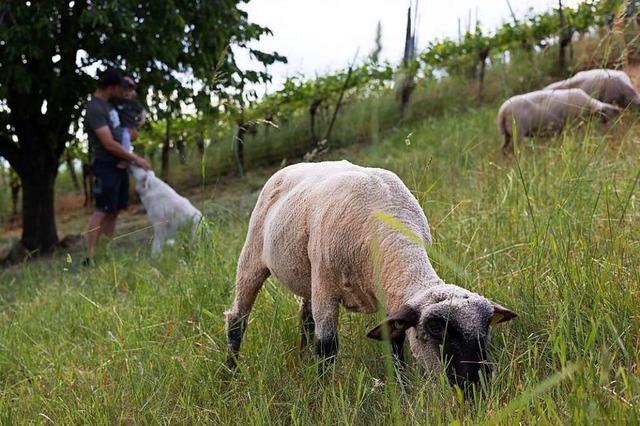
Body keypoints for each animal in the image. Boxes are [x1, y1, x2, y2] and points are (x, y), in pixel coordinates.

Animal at [224, 161, 516, 390]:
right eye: (435, 328)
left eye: (487, 325)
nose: (478, 386)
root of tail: (289, 167)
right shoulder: (326, 286)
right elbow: (327, 347)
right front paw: (323, 395)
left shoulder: (389, 292)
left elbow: (394, 339)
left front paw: (402, 387)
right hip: (254, 254)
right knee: (238, 319)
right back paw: (231, 374)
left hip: (308, 276)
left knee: (305, 317)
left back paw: (302, 357)